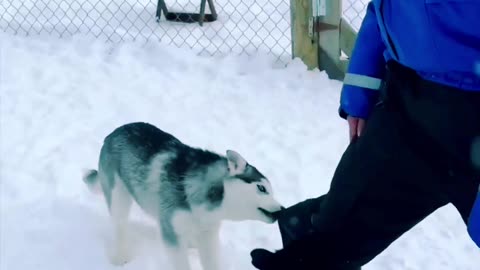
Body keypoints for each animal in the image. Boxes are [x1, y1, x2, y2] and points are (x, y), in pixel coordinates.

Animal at [83, 122, 284, 270]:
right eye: (262, 188)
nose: (283, 210)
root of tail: (113, 132)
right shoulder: (173, 234)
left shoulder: (208, 234)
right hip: (119, 196)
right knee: (120, 224)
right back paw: (120, 257)